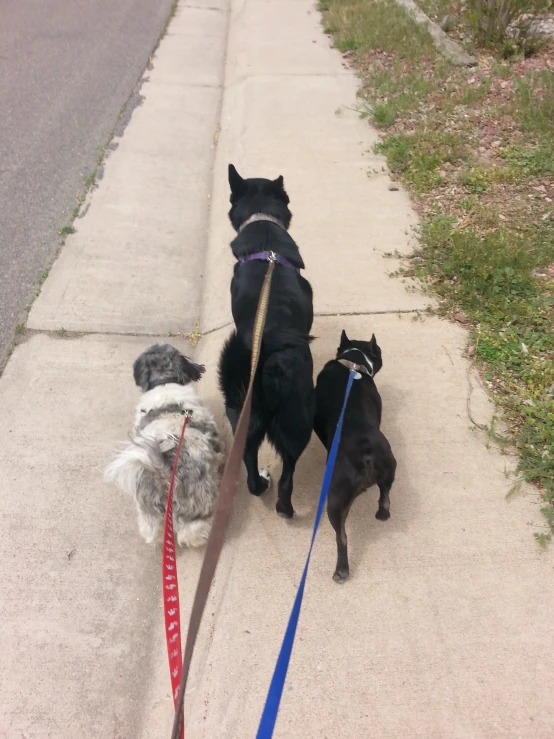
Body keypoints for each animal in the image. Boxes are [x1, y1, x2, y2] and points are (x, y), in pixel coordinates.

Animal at [104, 344, 223, 548]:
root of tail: (162, 470)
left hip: (149, 509)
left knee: (152, 530)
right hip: (198, 500)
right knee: (190, 530)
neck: (163, 383)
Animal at [217, 165, 312, 516]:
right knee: (287, 478)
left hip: (243, 420)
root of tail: (269, 366)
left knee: (248, 475)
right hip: (298, 420)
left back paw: (261, 483)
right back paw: (285, 508)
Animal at [312, 330, 394, 584]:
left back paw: (341, 570)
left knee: (342, 537)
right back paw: (383, 513)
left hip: (334, 499)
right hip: (389, 466)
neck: (354, 363)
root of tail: (364, 452)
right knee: (385, 494)